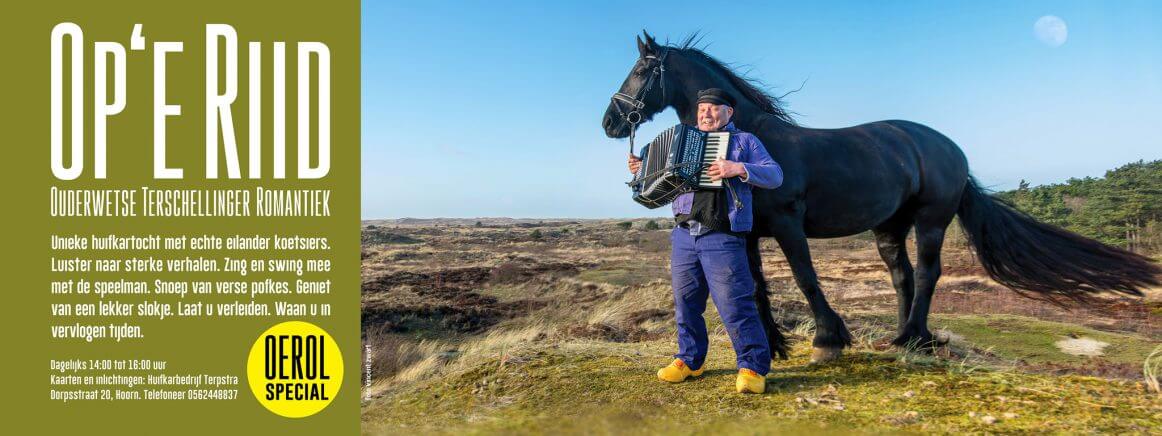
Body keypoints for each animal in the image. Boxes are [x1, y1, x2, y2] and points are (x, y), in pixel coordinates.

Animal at [604, 32, 1157, 362]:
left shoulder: (787, 226)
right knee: (902, 276)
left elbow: (805, 279)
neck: (749, 138)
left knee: (929, 273)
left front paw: (828, 340)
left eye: (641, 72)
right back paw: (904, 335)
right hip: (889, 226)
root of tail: (950, 148)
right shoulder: (750, 232)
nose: (611, 122)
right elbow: (755, 288)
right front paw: (775, 345)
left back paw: (914, 336)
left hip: (931, 220)